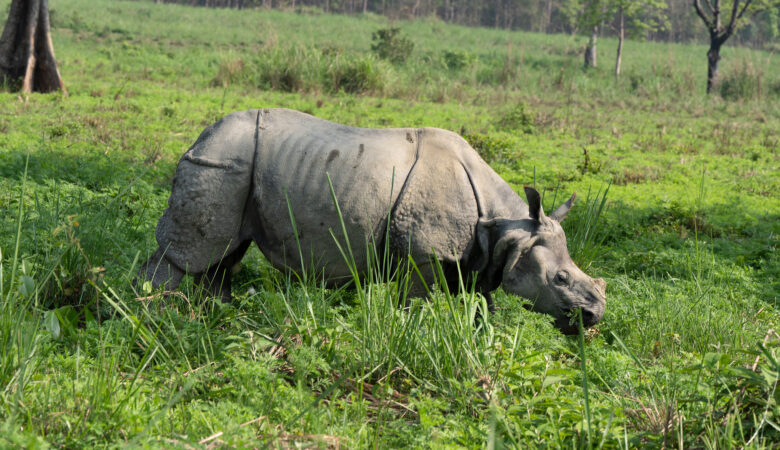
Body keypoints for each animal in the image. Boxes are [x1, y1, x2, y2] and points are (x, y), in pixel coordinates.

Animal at [138, 108, 606, 334]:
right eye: (560, 279)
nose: (595, 314)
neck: (506, 225)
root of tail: (201, 135)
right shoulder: (425, 256)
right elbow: (417, 303)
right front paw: (414, 334)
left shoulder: (478, 260)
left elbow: (482, 308)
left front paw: (482, 341)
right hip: (220, 162)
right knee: (192, 254)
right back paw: (154, 317)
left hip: (236, 165)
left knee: (225, 255)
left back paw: (215, 318)